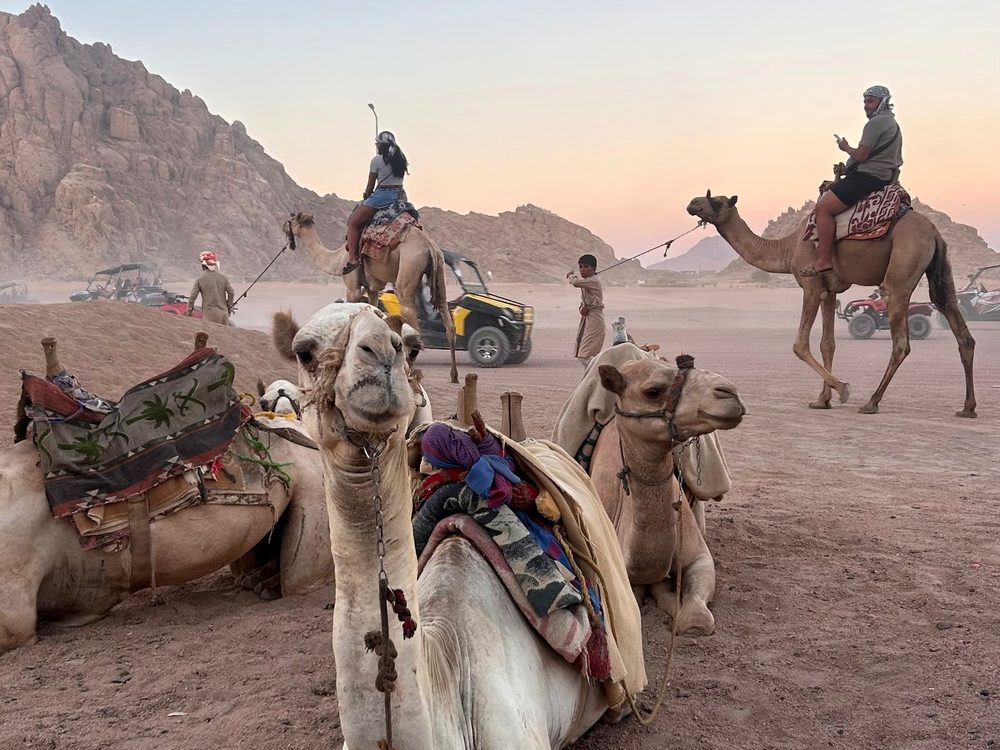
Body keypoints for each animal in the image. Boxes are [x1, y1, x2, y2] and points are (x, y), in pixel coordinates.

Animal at [283, 210, 459, 384]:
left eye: (291, 220)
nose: (285, 228)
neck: (338, 259)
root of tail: (430, 246)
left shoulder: (352, 287)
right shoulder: (372, 289)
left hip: (408, 267)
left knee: (411, 317)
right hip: (440, 269)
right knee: (447, 317)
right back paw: (454, 375)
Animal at [686, 191, 976, 417]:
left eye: (717, 201)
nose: (692, 203)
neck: (788, 248)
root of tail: (934, 232)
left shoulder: (812, 287)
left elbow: (800, 345)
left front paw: (842, 389)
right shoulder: (830, 291)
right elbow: (828, 344)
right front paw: (822, 400)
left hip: (901, 272)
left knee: (901, 343)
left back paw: (871, 402)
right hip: (940, 270)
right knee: (958, 325)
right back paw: (968, 407)